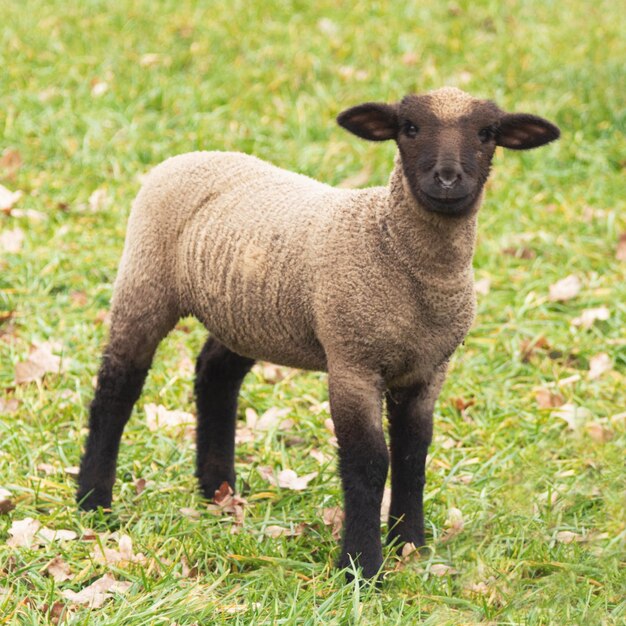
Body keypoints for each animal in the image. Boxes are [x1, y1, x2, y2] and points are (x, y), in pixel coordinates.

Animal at [75, 86, 560, 576]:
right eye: (409, 128)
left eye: (487, 133)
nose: (446, 178)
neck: (393, 247)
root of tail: (192, 155)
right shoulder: (352, 363)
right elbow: (368, 462)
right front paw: (361, 565)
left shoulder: (428, 370)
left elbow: (413, 454)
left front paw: (410, 545)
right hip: (146, 281)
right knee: (117, 387)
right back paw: (94, 501)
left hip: (246, 315)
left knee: (215, 375)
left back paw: (217, 489)